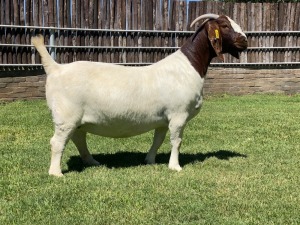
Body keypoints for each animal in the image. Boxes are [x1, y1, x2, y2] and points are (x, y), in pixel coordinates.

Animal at [31, 13, 247, 177]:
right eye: (225, 25)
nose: (244, 41)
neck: (187, 66)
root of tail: (56, 68)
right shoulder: (178, 114)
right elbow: (176, 141)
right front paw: (175, 167)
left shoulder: (163, 118)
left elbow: (158, 140)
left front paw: (149, 160)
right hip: (66, 116)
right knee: (58, 142)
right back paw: (56, 173)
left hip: (76, 119)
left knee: (78, 138)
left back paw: (92, 161)